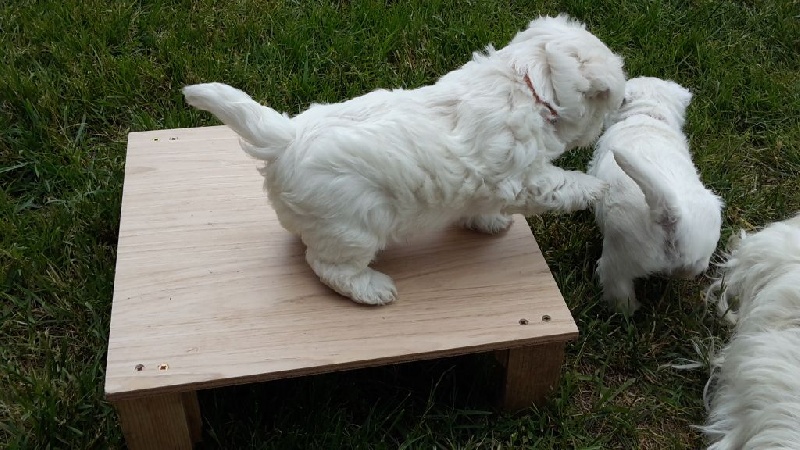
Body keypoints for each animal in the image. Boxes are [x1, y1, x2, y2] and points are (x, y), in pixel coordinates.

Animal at [181, 15, 624, 308]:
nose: (607, 122)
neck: (528, 82)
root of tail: (285, 138)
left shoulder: (489, 183)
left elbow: (481, 203)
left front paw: (489, 222)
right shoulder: (524, 178)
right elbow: (561, 184)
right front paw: (598, 187)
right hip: (354, 229)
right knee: (328, 266)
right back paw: (373, 290)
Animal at [588, 77, 724, 314]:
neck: (648, 115)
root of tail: (671, 214)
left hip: (620, 255)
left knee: (618, 288)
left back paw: (621, 309)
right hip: (700, 248)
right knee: (692, 269)